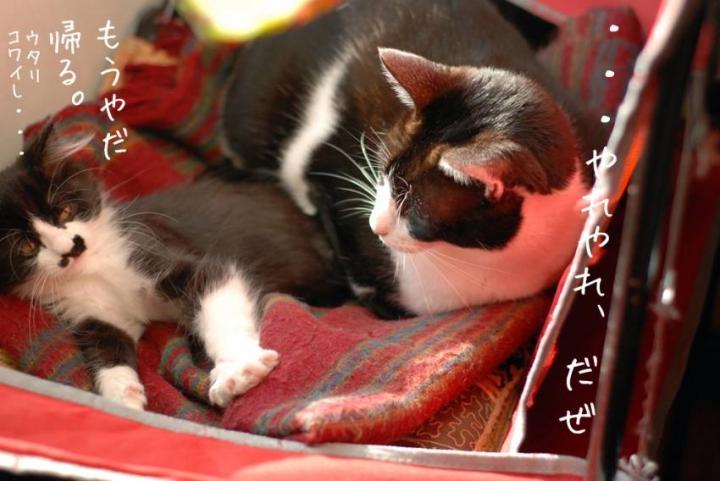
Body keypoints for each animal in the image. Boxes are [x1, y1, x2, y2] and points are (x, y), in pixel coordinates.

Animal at [0, 122, 345, 409]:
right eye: (27, 247)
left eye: (64, 211)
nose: (71, 248)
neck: (93, 269)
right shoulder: (90, 312)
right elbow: (106, 351)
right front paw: (123, 398)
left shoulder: (168, 255)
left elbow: (220, 309)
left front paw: (237, 371)